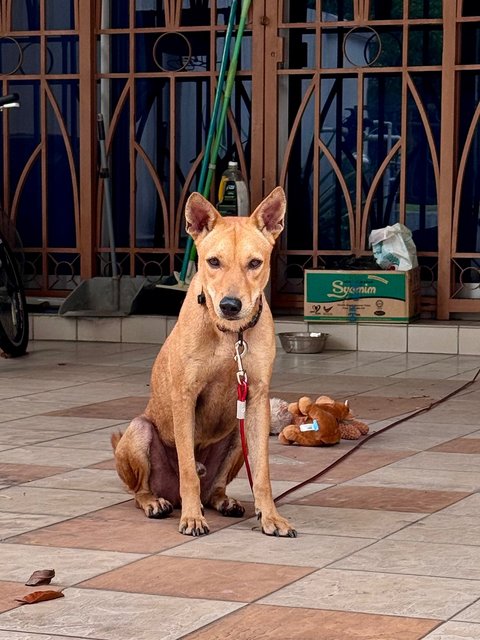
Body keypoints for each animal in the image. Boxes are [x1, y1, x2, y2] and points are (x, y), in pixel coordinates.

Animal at [112, 188, 296, 536]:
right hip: (139, 431)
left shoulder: (257, 397)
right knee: (141, 489)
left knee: (214, 488)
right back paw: (156, 503)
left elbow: (262, 474)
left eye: (255, 263)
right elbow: (187, 469)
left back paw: (224, 501)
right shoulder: (185, 396)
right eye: (213, 262)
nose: (230, 305)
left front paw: (271, 517)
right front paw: (192, 519)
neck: (230, 336)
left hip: (237, 436)